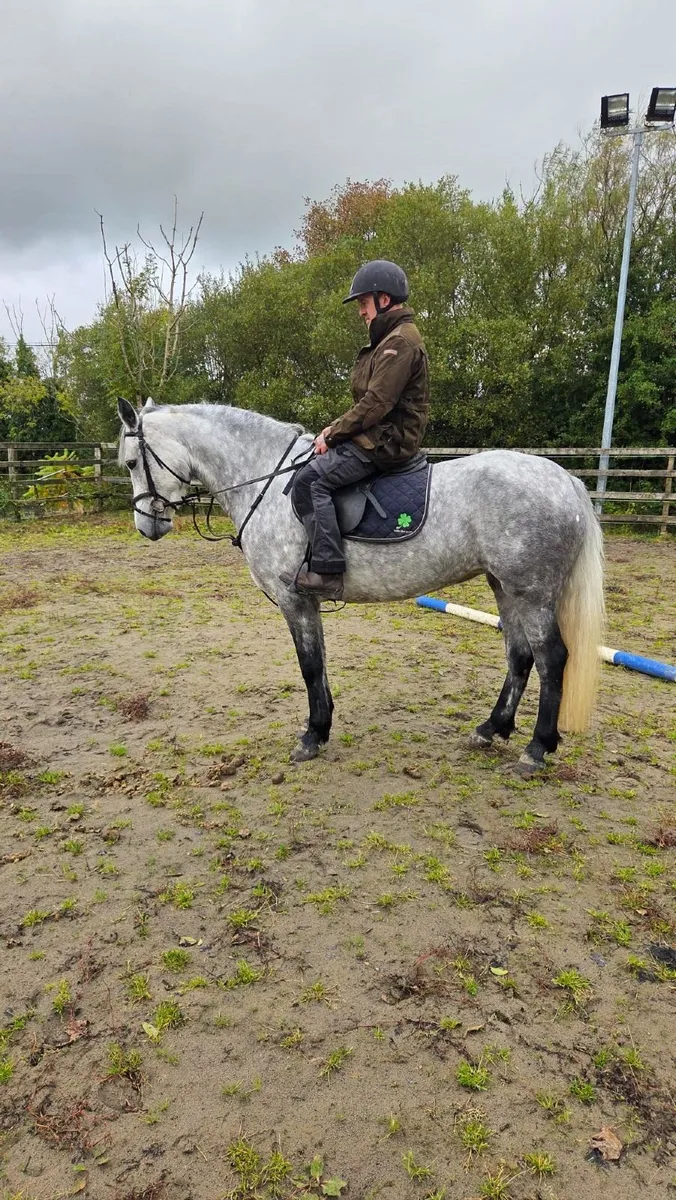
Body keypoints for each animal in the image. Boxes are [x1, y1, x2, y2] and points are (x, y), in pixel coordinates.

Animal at [117, 397, 605, 772]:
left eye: (131, 462)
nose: (146, 526)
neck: (264, 480)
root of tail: (565, 480)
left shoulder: (294, 600)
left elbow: (309, 665)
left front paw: (312, 736)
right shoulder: (309, 602)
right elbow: (320, 664)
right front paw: (323, 725)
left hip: (532, 591)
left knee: (552, 659)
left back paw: (537, 748)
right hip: (504, 586)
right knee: (520, 656)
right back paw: (491, 729)